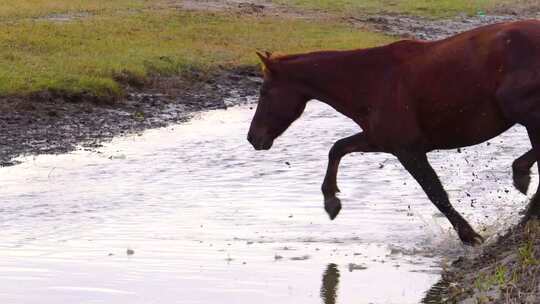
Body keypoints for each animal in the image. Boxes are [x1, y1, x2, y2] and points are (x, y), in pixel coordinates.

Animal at [247, 20, 540, 245]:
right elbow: (337, 148)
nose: (252, 138)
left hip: (521, 109)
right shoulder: (380, 140)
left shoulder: (408, 150)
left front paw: (469, 236)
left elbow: (436, 194)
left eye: (264, 91)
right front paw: (331, 201)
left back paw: (522, 182)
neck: (372, 80)